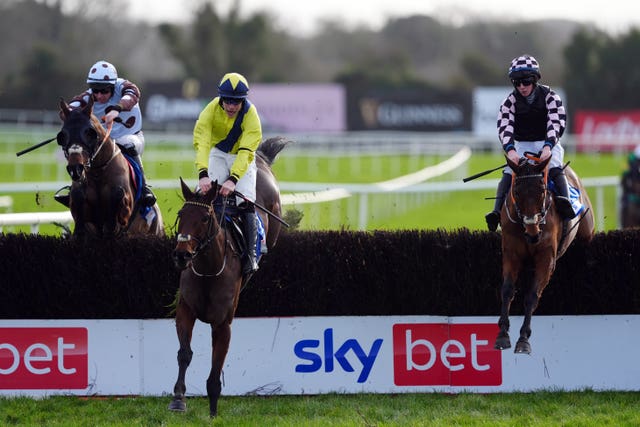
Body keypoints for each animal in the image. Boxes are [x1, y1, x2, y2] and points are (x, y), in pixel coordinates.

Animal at [57, 97, 165, 239]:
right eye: (62, 135)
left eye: (90, 133)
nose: (75, 168)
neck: (97, 173)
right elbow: (78, 198)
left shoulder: (125, 209)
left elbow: (117, 196)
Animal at [170, 137, 290, 418]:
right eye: (181, 215)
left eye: (205, 217)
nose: (182, 255)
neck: (208, 271)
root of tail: (260, 158)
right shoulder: (185, 309)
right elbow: (184, 353)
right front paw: (178, 398)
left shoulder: (223, 323)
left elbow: (216, 367)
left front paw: (213, 409)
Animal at [496, 156, 596, 354]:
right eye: (516, 192)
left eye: (542, 190)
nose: (533, 234)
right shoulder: (511, 253)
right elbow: (507, 290)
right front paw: (503, 334)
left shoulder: (546, 258)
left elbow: (532, 295)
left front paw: (523, 339)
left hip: (587, 231)